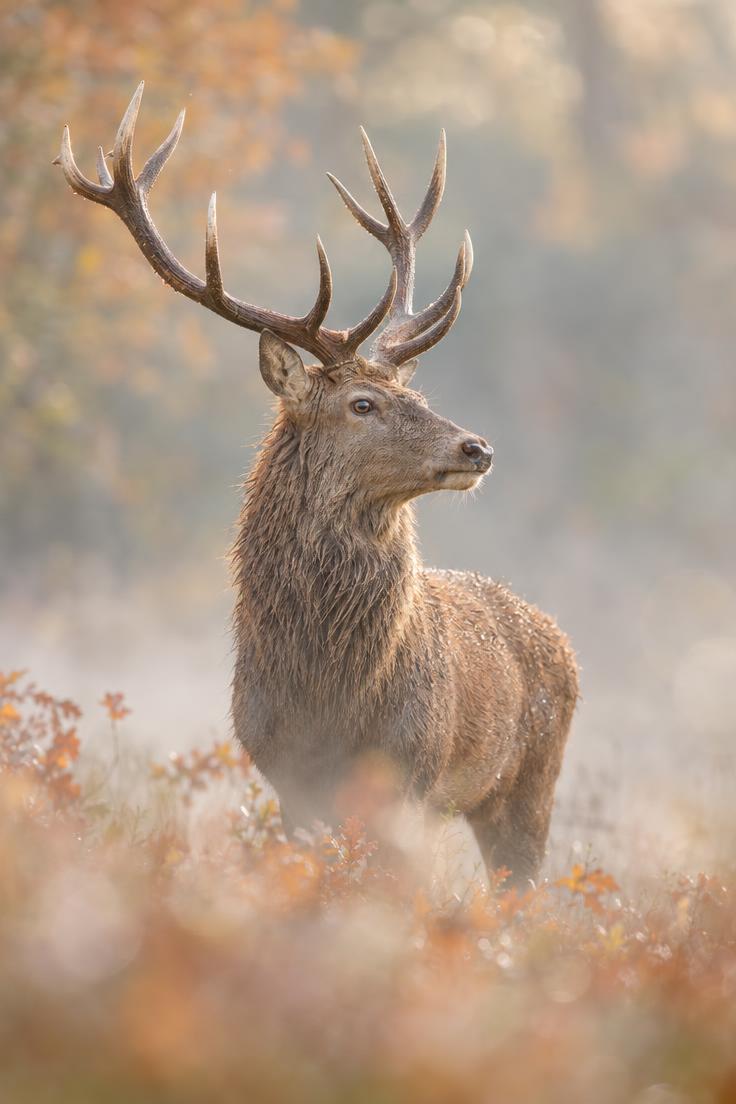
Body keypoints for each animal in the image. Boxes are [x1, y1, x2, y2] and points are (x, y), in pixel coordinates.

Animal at [56, 84, 578, 886]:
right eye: (362, 404)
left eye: (411, 393)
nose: (478, 446)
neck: (329, 693)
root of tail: (556, 636)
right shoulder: (283, 774)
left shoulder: (412, 774)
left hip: (530, 783)